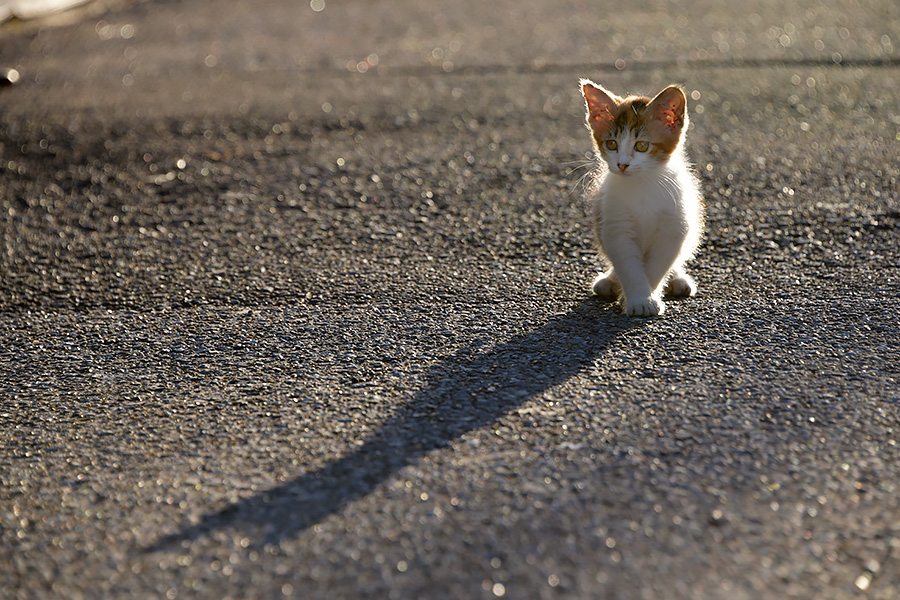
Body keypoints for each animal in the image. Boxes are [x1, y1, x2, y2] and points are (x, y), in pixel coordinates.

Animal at [580, 80, 708, 318]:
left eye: (642, 146)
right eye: (612, 144)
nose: (622, 164)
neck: (642, 183)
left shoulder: (674, 228)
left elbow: (657, 266)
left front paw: (646, 296)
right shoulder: (616, 227)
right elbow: (629, 266)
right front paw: (639, 299)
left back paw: (677, 279)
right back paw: (610, 281)